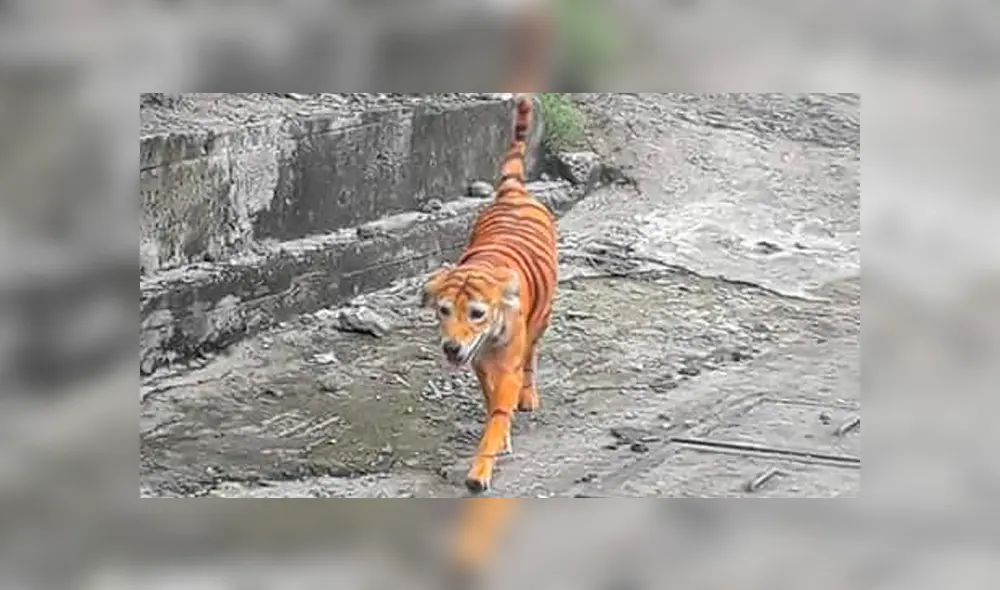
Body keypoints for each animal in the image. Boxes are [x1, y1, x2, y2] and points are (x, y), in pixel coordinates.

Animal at [421, 93, 557, 494]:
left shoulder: (507, 364)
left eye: (477, 313)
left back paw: (529, 395)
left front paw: (480, 469)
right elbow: (490, 397)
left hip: (541, 321)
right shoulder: (480, 362)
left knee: (532, 356)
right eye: (443, 310)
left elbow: (499, 412)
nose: (451, 348)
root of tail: (513, 191)